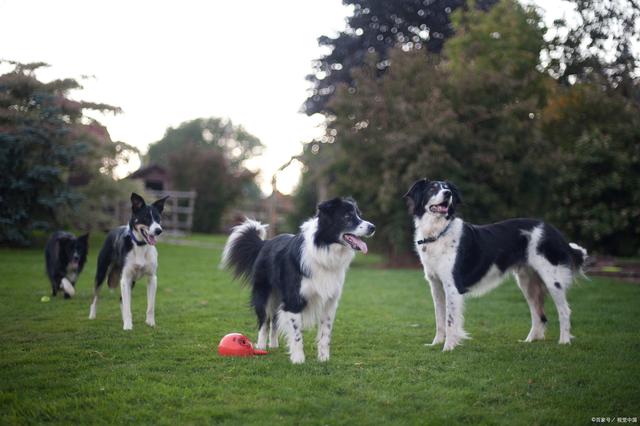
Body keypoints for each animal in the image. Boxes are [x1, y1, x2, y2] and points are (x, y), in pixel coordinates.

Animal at [91, 192, 170, 330]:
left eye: (158, 218)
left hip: (131, 281)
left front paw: (150, 323)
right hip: (102, 273)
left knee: (121, 300)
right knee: (96, 296)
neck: (140, 245)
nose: (159, 230)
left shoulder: (152, 278)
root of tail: (112, 230)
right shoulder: (125, 278)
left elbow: (150, 306)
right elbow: (127, 306)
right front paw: (128, 326)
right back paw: (92, 315)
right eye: (146, 218)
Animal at [221, 196, 376, 362]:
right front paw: (298, 359)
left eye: (359, 215)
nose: (372, 227)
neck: (323, 249)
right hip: (263, 293)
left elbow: (325, 334)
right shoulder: (293, 300)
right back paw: (261, 347)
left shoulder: (329, 303)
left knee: (274, 320)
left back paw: (273, 345)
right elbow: (296, 334)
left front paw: (323, 359)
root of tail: (265, 243)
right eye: (347, 217)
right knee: (264, 321)